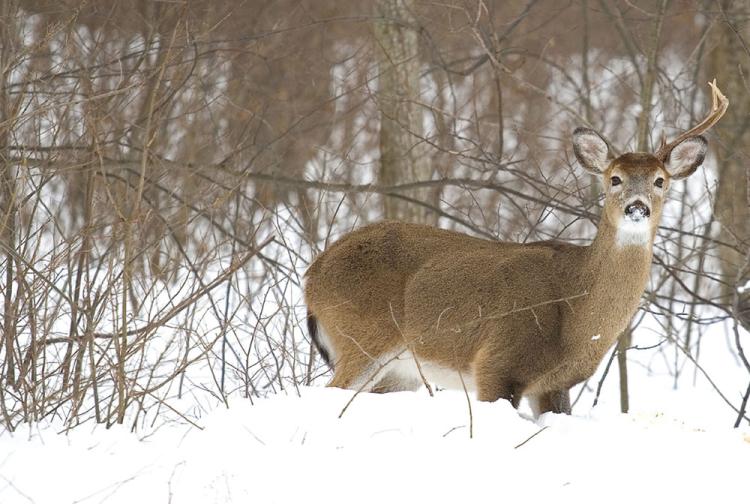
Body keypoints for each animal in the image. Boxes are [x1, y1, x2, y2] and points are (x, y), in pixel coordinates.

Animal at [304, 81, 728, 416]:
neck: (577, 315)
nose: (636, 207)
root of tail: (313, 274)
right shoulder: (496, 363)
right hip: (360, 337)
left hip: (397, 370)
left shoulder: (556, 384)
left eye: (660, 180)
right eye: (614, 179)